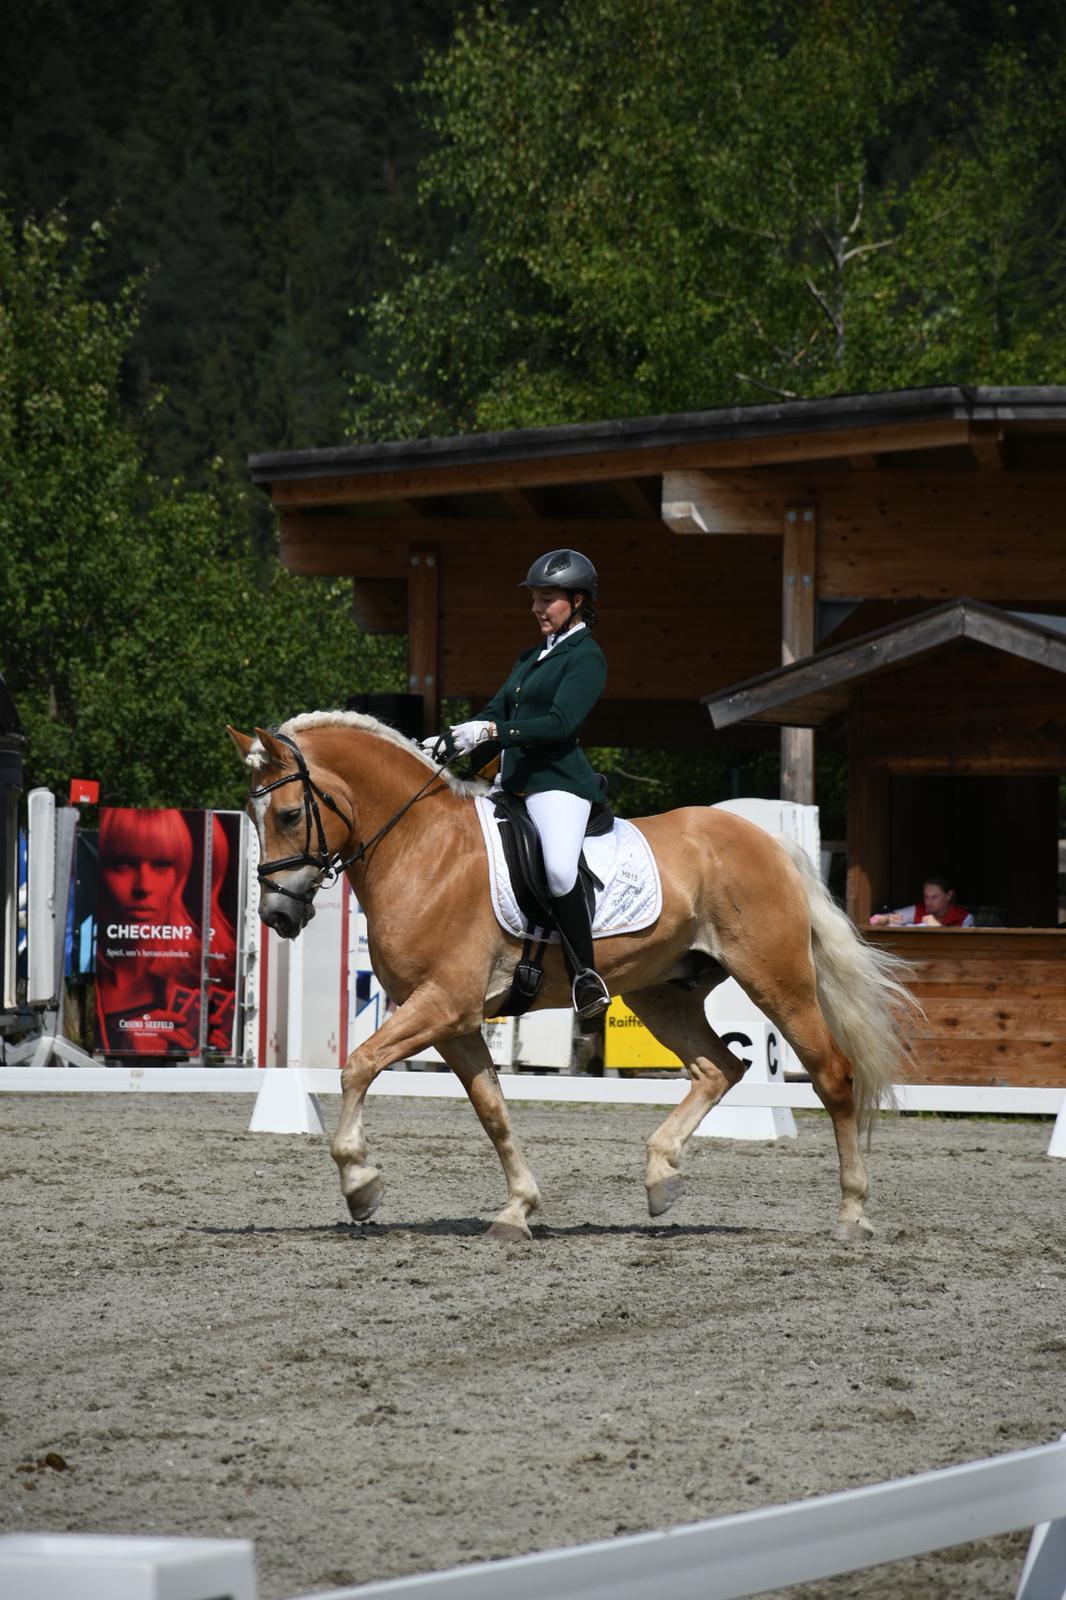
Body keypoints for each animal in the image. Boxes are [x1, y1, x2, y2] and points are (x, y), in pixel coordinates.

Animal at [228, 713, 909, 1248]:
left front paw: (360, 1184)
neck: (423, 848)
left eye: (289, 813)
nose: (278, 916)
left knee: (833, 1075)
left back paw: (852, 1214)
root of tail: (769, 842)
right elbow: (493, 1111)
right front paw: (516, 1210)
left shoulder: (443, 1005)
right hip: (661, 994)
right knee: (720, 1068)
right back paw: (661, 1179)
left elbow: (359, 1064)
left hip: (778, 981)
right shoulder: (455, 1022)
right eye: (252, 818)